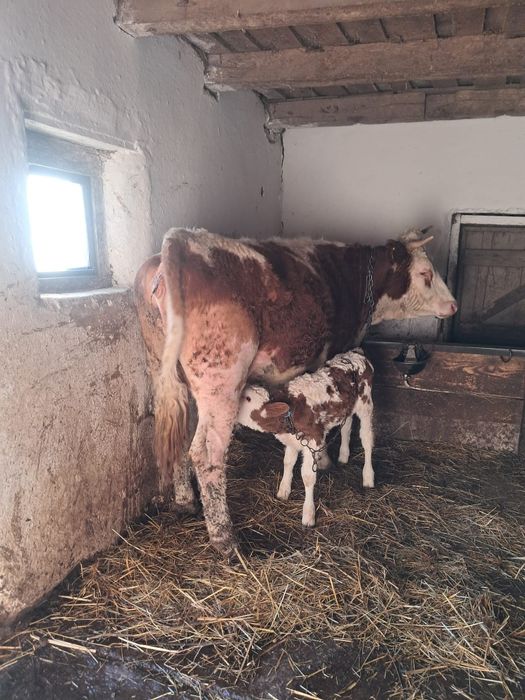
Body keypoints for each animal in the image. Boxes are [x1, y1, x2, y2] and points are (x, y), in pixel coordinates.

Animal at [236, 349, 375, 528]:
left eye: (248, 398)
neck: (290, 411)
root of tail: (355, 353)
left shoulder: (313, 442)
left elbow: (308, 477)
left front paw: (308, 514)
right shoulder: (292, 441)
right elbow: (288, 463)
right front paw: (283, 490)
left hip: (366, 404)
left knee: (367, 439)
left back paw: (368, 476)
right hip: (347, 409)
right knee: (346, 427)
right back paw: (343, 455)